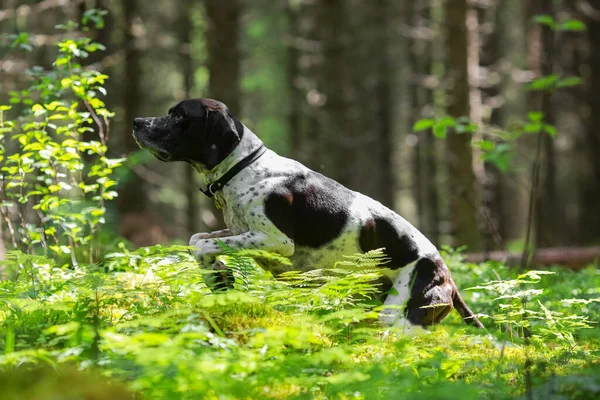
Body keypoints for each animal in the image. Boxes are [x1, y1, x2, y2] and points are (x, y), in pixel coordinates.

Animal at [131, 97, 482, 332]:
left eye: (179, 116)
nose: (136, 122)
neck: (243, 168)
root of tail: (445, 274)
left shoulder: (274, 240)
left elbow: (203, 245)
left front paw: (219, 277)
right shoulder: (239, 231)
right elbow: (196, 239)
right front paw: (218, 274)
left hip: (400, 317)